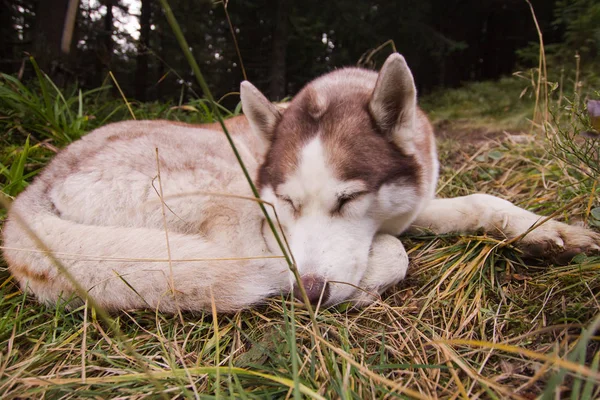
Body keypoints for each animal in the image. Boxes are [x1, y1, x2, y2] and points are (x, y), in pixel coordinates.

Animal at [1, 54, 600, 312]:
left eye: (350, 198)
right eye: (285, 202)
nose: (309, 293)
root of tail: (31, 195)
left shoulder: (411, 203)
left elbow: (481, 201)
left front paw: (548, 233)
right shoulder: (272, 222)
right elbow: (395, 251)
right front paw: (370, 272)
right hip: (225, 188)